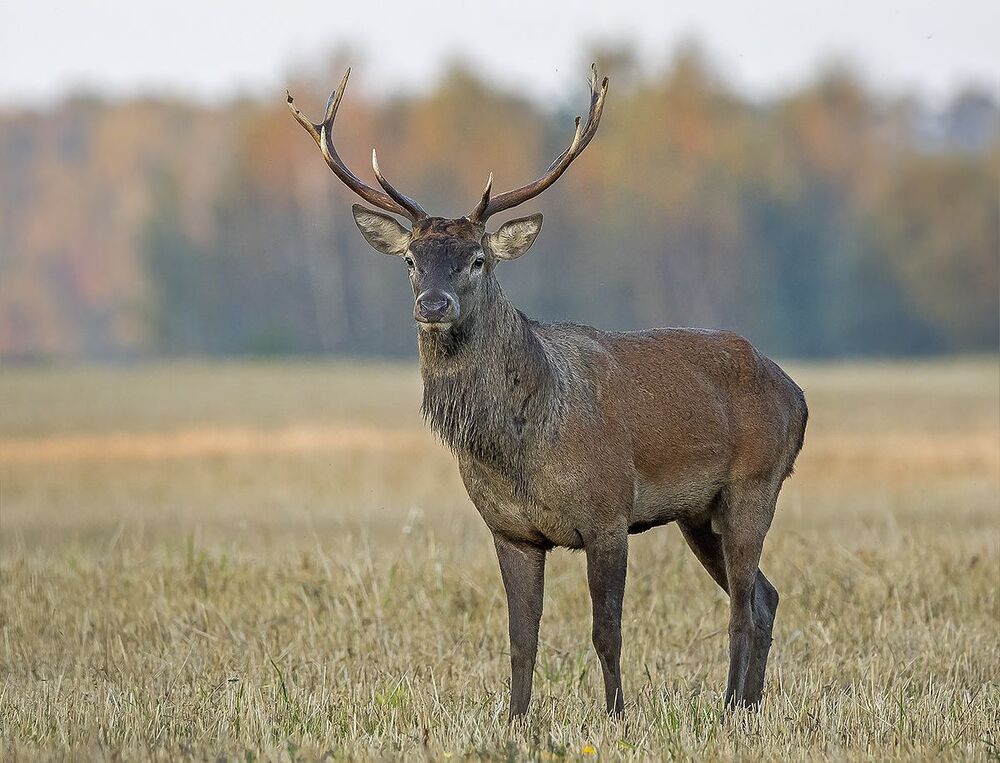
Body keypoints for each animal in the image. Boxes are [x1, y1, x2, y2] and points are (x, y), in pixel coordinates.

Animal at [287, 65, 808, 720]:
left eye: (477, 259)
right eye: (410, 259)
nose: (433, 304)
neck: (523, 450)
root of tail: (799, 399)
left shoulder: (609, 515)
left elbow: (607, 631)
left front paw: (616, 716)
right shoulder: (510, 531)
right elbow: (520, 638)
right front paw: (515, 720)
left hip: (753, 485)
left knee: (742, 605)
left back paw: (730, 710)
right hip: (698, 513)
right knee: (766, 595)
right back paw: (746, 707)